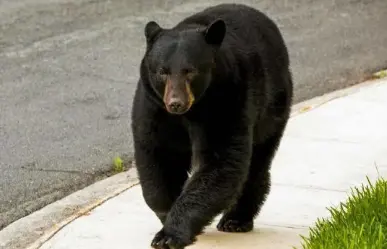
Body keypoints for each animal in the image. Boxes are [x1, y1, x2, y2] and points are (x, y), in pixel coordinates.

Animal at [131, 2, 294, 249]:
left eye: (190, 71)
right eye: (162, 71)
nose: (176, 103)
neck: (192, 111)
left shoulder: (227, 99)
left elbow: (220, 163)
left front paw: (170, 234)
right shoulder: (154, 107)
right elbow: (159, 157)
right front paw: (166, 214)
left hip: (273, 106)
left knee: (257, 161)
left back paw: (236, 219)